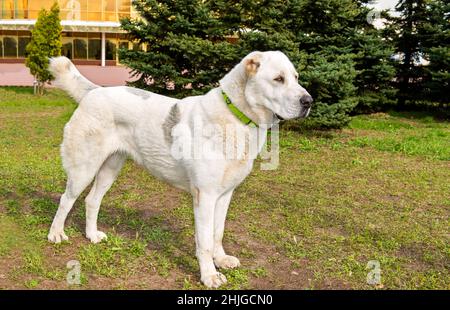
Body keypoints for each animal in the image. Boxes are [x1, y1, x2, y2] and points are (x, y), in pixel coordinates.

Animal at [47, 51, 312, 288]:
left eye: (296, 77)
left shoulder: (225, 195)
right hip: (84, 169)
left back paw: (92, 235)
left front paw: (221, 260)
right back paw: (56, 234)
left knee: (92, 200)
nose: (309, 102)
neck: (236, 117)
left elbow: (217, 232)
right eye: (278, 79)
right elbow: (204, 242)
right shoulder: (205, 196)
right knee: (66, 200)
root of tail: (95, 91)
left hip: (110, 169)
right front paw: (209, 276)